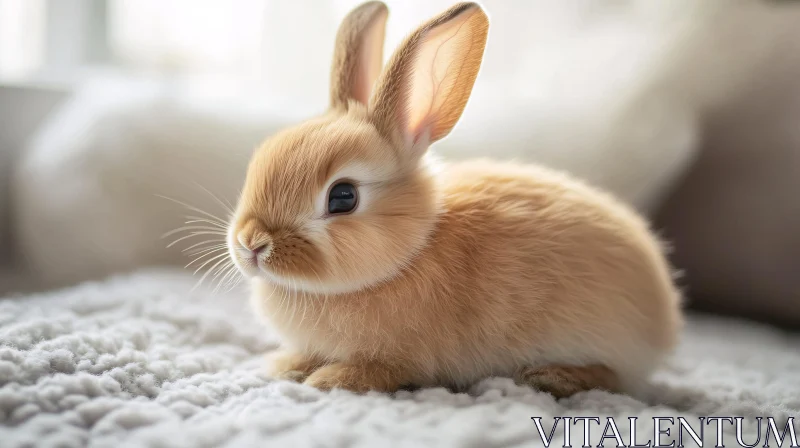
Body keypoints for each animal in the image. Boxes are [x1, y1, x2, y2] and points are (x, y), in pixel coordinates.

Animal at [228, 1, 684, 398]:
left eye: (343, 197)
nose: (252, 244)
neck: (409, 254)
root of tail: (665, 315)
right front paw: (286, 365)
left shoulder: (401, 356)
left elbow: (379, 370)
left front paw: (330, 379)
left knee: (613, 378)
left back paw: (552, 376)